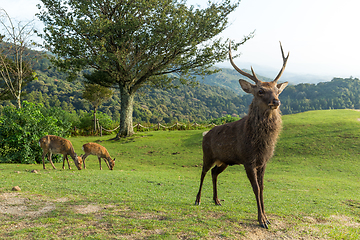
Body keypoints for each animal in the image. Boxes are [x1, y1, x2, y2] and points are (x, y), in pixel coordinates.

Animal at [194, 41, 290, 229]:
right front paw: (261, 220)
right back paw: (198, 200)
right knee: (202, 172)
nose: (276, 101)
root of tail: (205, 133)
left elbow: (262, 187)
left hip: (224, 161)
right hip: (207, 154)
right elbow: (256, 188)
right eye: (260, 91)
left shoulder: (263, 162)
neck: (260, 143)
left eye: (277, 90)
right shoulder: (248, 160)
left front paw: (267, 218)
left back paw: (216, 200)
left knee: (214, 172)